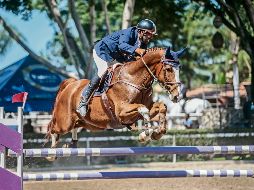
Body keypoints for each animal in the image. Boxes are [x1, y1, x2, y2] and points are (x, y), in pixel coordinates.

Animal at [45, 46, 185, 154]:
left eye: (179, 69)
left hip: (86, 123)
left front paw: (157, 133)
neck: (134, 79)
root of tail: (70, 85)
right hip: (65, 123)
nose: (177, 96)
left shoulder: (144, 109)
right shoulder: (122, 112)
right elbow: (143, 109)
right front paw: (145, 134)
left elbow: (161, 107)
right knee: (53, 129)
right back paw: (51, 152)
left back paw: (71, 145)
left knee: (73, 127)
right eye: (168, 69)